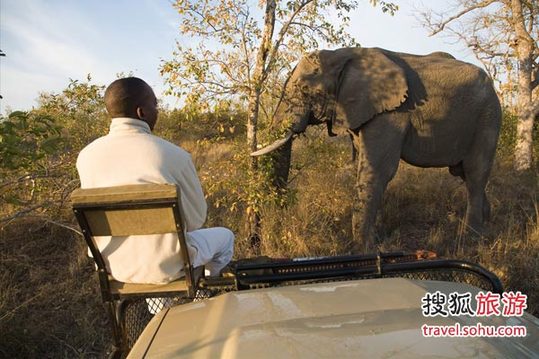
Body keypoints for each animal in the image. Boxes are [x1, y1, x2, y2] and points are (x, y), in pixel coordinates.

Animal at [253, 46, 502, 252]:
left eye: (305, 90)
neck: (342, 55)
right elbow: (363, 166)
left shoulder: (392, 113)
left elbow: (378, 170)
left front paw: (364, 249)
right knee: (464, 174)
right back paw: (488, 225)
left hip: (488, 117)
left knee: (475, 173)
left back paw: (471, 239)